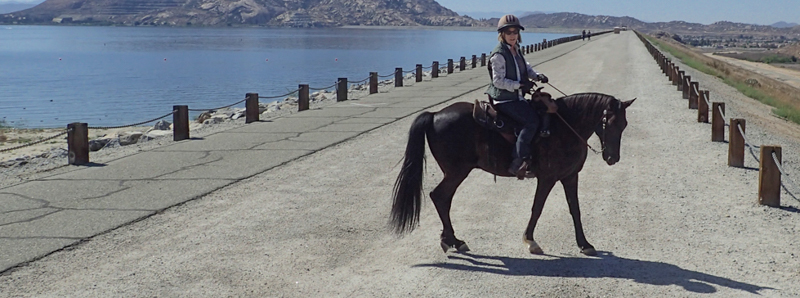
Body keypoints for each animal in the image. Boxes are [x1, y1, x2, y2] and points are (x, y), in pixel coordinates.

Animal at [390, 91, 636, 256]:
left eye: (624, 124)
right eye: (609, 122)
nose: (612, 158)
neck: (565, 127)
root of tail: (434, 115)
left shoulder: (570, 176)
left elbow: (575, 209)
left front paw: (585, 244)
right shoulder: (547, 178)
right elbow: (537, 208)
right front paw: (530, 241)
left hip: (455, 172)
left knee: (443, 199)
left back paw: (450, 240)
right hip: (457, 171)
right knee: (440, 197)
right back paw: (454, 241)